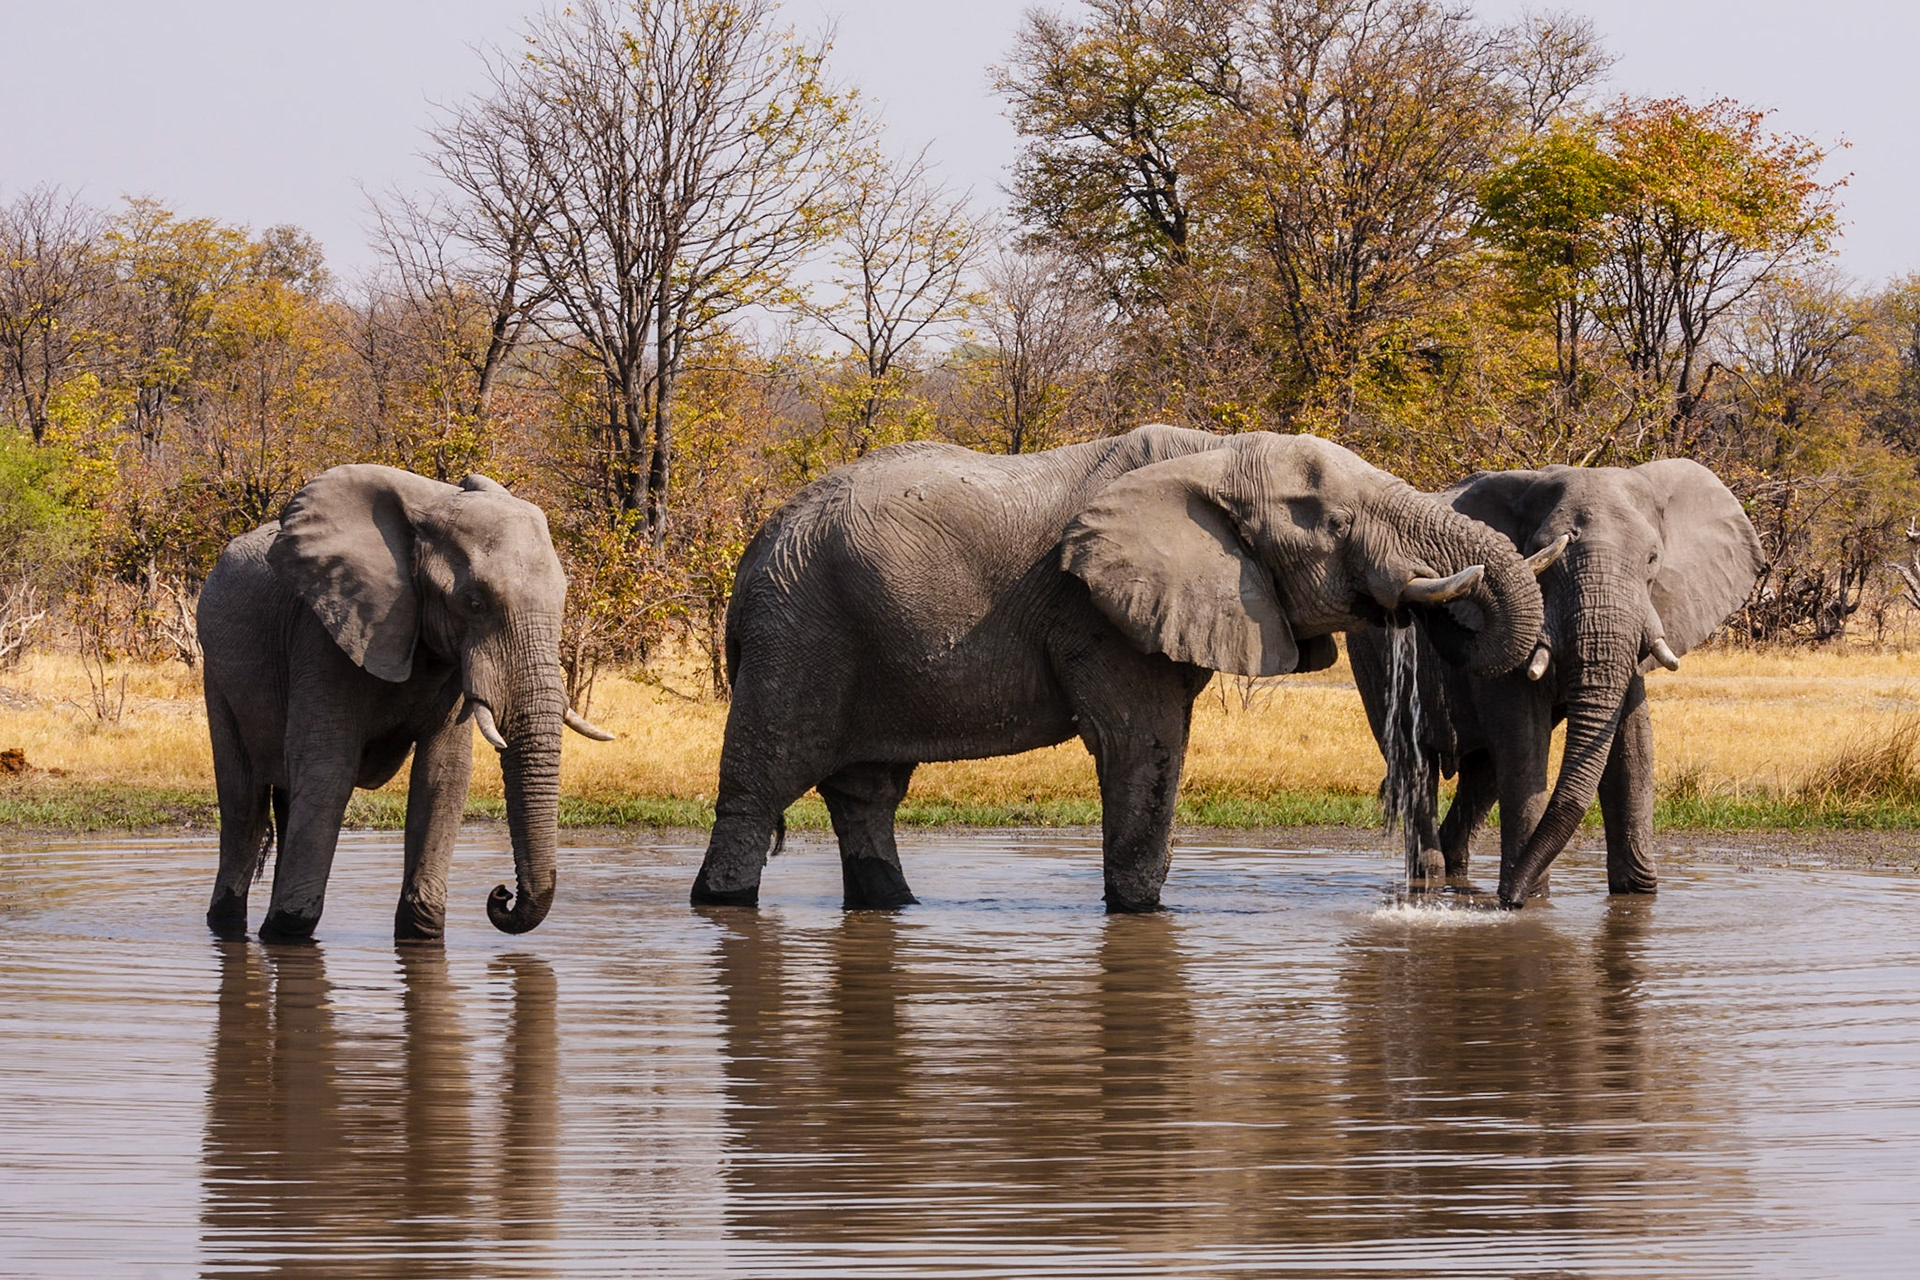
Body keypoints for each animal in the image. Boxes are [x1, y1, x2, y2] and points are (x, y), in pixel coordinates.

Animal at [197, 464, 613, 943]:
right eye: (474, 602)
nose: (501, 894)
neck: (429, 510)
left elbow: (443, 775)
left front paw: (421, 933)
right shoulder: (324, 632)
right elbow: (328, 770)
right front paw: (286, 932)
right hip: (217, 674)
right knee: (243, 804)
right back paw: (228, 925)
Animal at [690, 425, 1546, 913]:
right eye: (1332, 522)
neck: (1215, 451)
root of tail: (752, 553)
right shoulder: (1092, 609)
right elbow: (1143, 748)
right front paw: (1140, 915)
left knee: (867, 794)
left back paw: (894, 907)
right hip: (798, 631)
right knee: (762, 782)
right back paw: (722, 902)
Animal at [1349, 459, 1764, 908]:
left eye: (1653, 558)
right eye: (1550, 552)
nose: (1508, 901)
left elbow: (1633, 745)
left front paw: (1635, 899)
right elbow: (1523, 739)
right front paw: (1531, 902)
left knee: (1483, 774)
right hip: (1372, 659)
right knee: (1415, 762)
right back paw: (1430, 877)